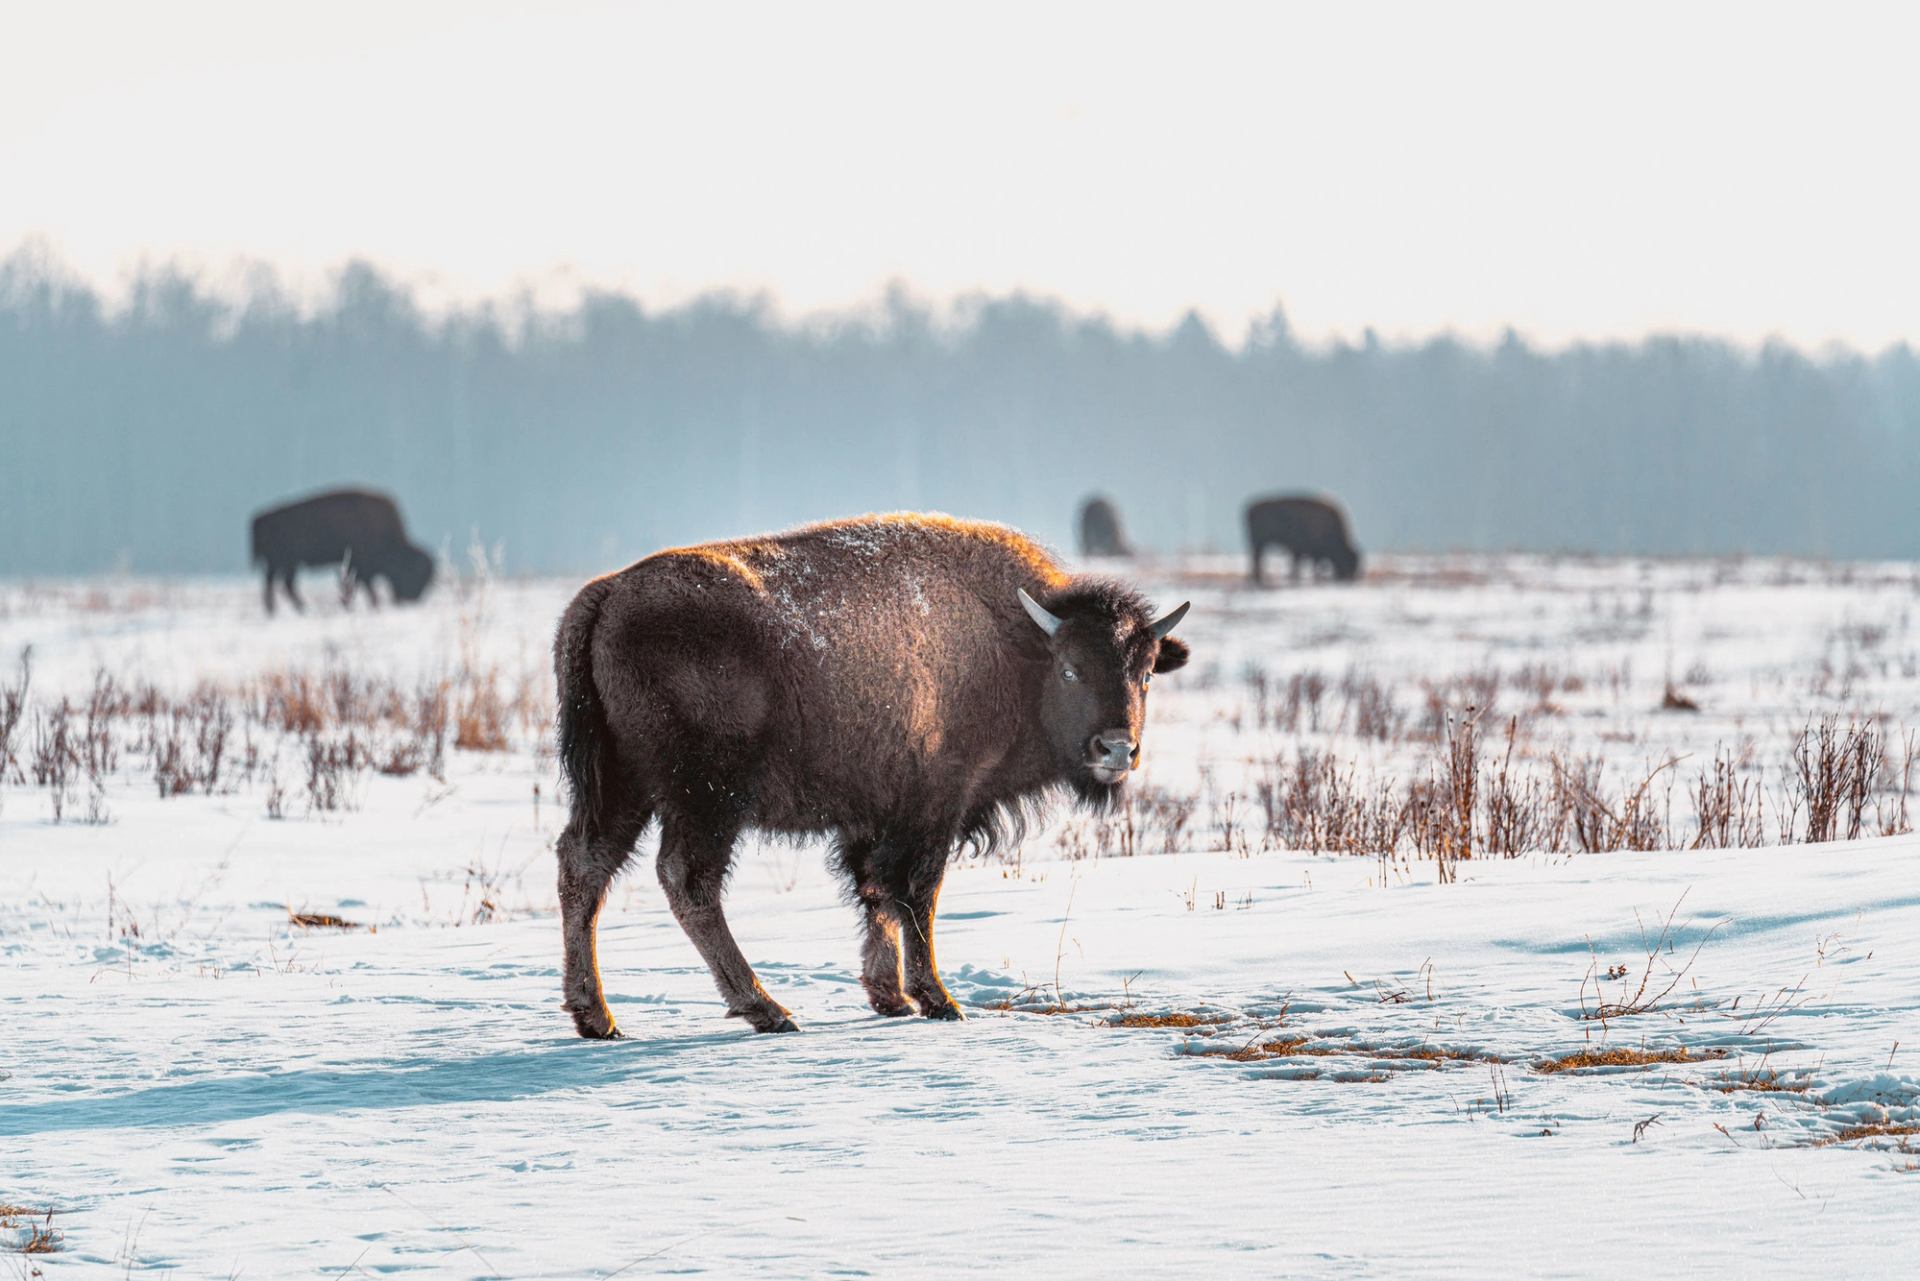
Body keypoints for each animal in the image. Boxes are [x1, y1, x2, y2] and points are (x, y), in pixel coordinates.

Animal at [247, 487, 435, 614]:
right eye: (413, 573)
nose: (412, 599)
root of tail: (259, 519)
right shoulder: (362, 566)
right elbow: (367, 586)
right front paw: (372, 604)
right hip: (285, 562)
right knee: (281, 584)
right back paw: (298, 608)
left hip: (285, 563)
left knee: (278, 583)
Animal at [549, 514, 1190, 1044]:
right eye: (1070, 669)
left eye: (1146, 673)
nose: (1117, 748)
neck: (1011, 645)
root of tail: (607, 594)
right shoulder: (937, 806)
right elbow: (917, 894)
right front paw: (937, 999)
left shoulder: (874, 816)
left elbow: (875, 893)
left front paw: (890, 998)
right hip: (706, 796)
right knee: (687, 879)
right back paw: (768, 1010)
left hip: (622, 786)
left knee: (585, 865)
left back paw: (596, 1017)